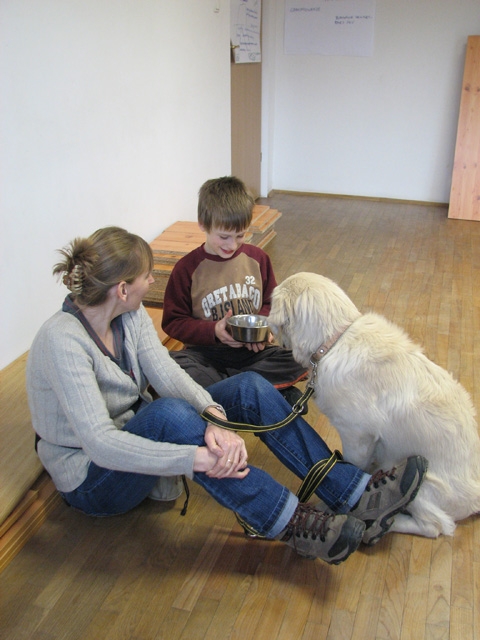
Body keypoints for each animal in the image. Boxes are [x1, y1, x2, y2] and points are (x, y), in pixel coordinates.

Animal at [269, 272, 480, 538]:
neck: (334, 341)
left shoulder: (357, 436)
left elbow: (350, 466)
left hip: (423, 482)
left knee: (435, 525)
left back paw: (382, 523)